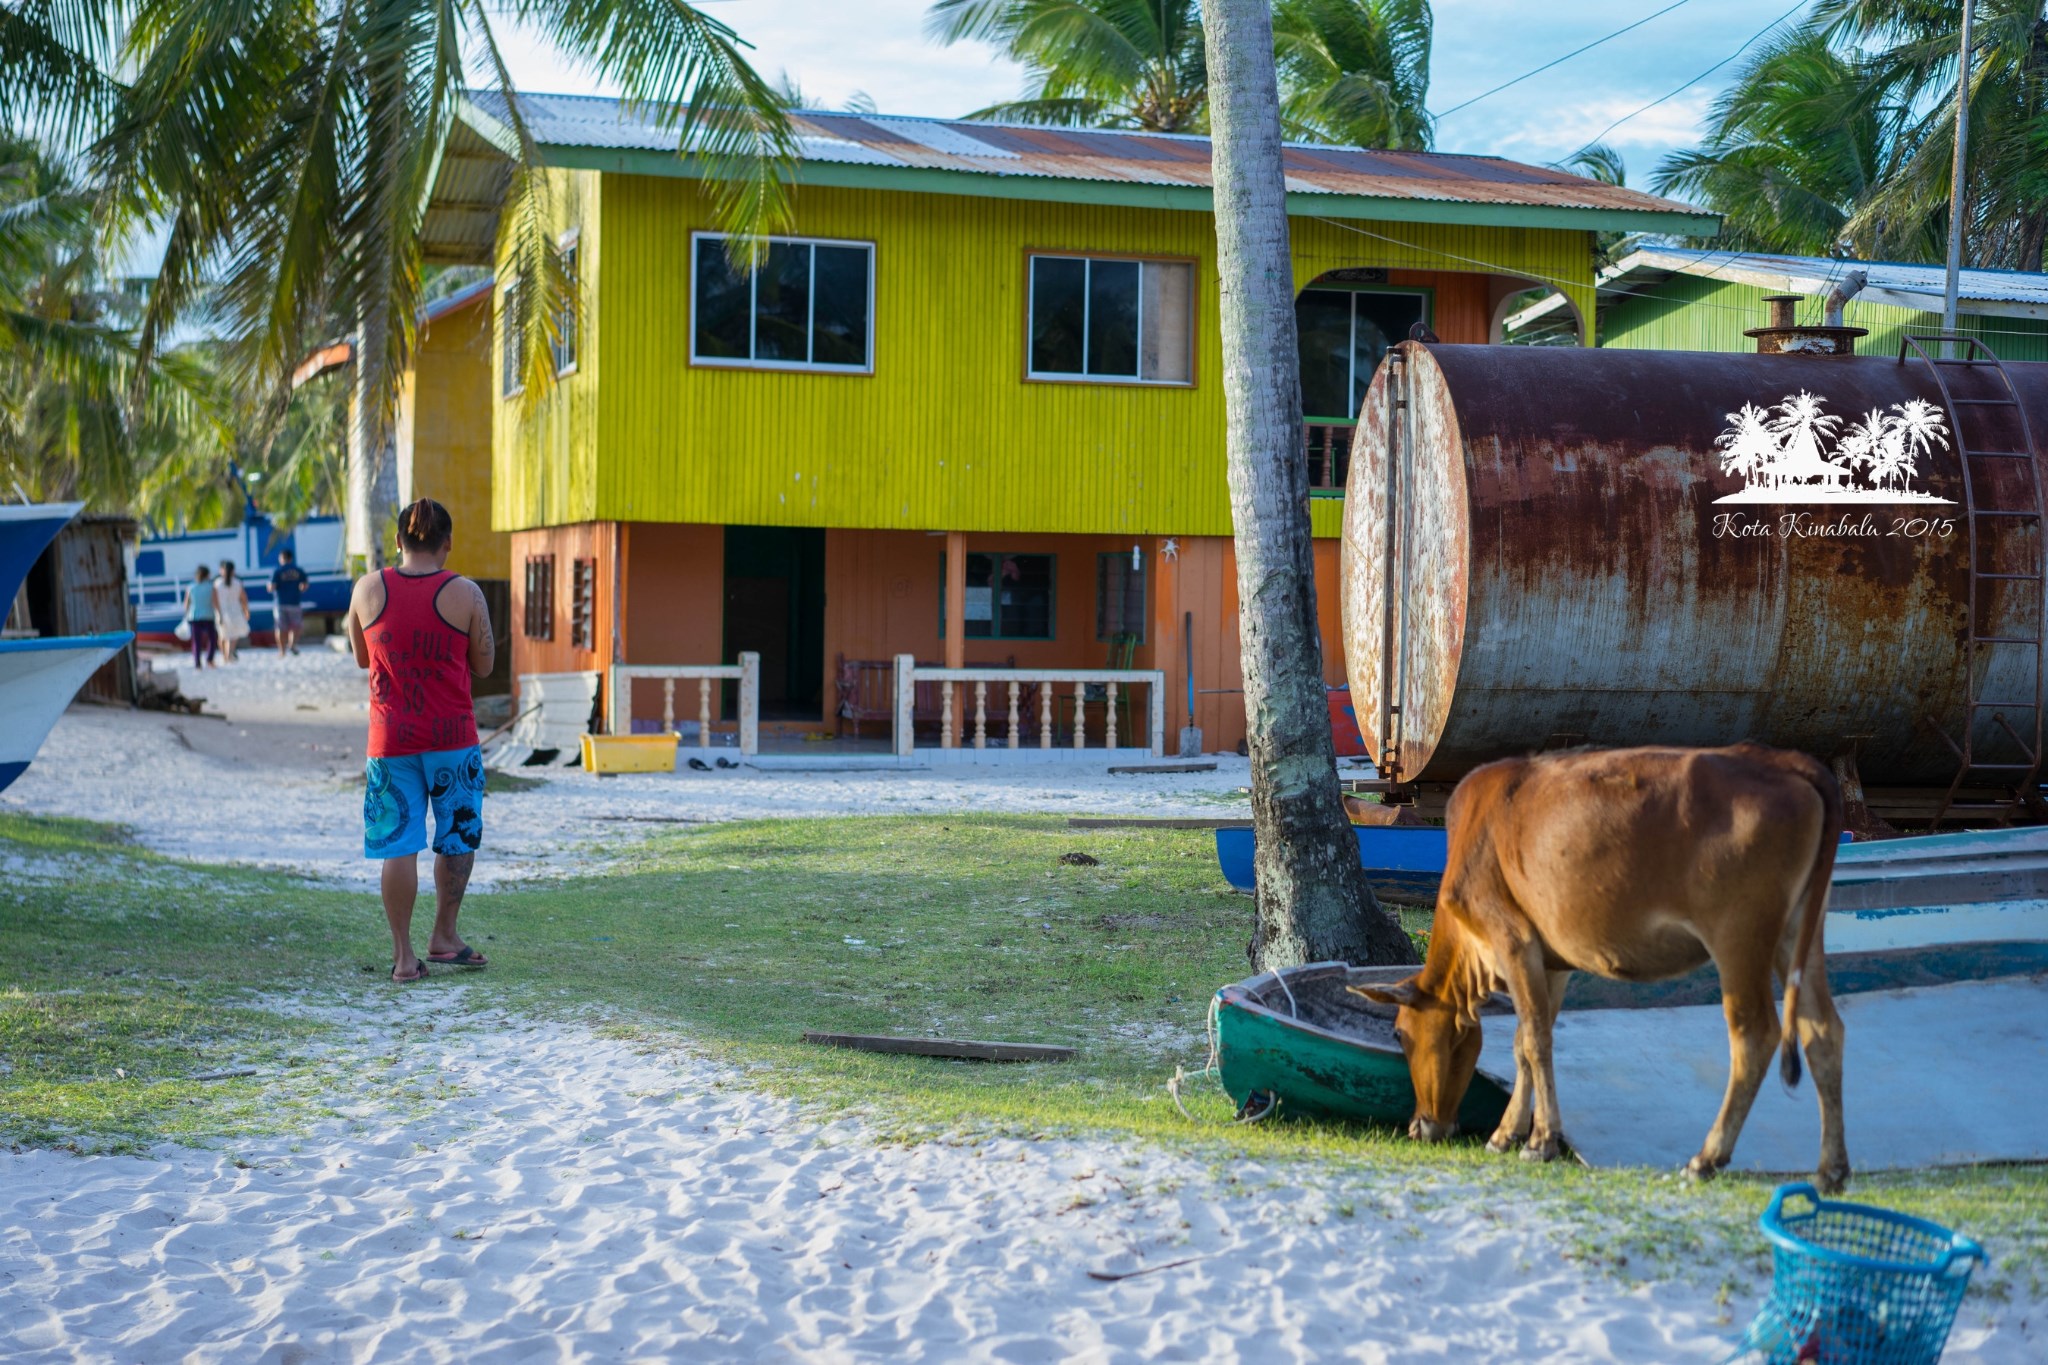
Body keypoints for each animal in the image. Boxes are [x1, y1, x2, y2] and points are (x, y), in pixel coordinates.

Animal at [1351, 740, 1851, 1186]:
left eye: (1400, 1033)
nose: (1419, 1126)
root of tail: (1782, 761)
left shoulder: (1512, 941)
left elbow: (1534, 1040)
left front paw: (1539, 1142)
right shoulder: (1551, 961)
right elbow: (1525, 1041)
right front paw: (1510, 1133)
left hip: (1739, 935)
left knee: (1755, 1035)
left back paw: (1707, 1157)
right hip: (1800, 932)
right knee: (1823, 1030)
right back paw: (1831, 1168)